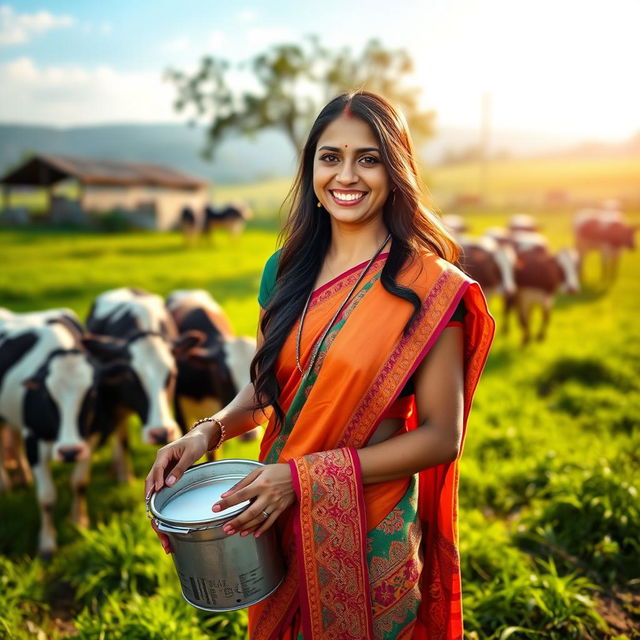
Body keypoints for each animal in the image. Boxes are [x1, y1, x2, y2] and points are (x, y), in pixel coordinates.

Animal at [84, 288, 201, 480]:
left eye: (172, 375)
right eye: (132, 377)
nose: (161, 433)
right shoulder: (113, 405)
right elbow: (122, 441)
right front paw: (125, 478)